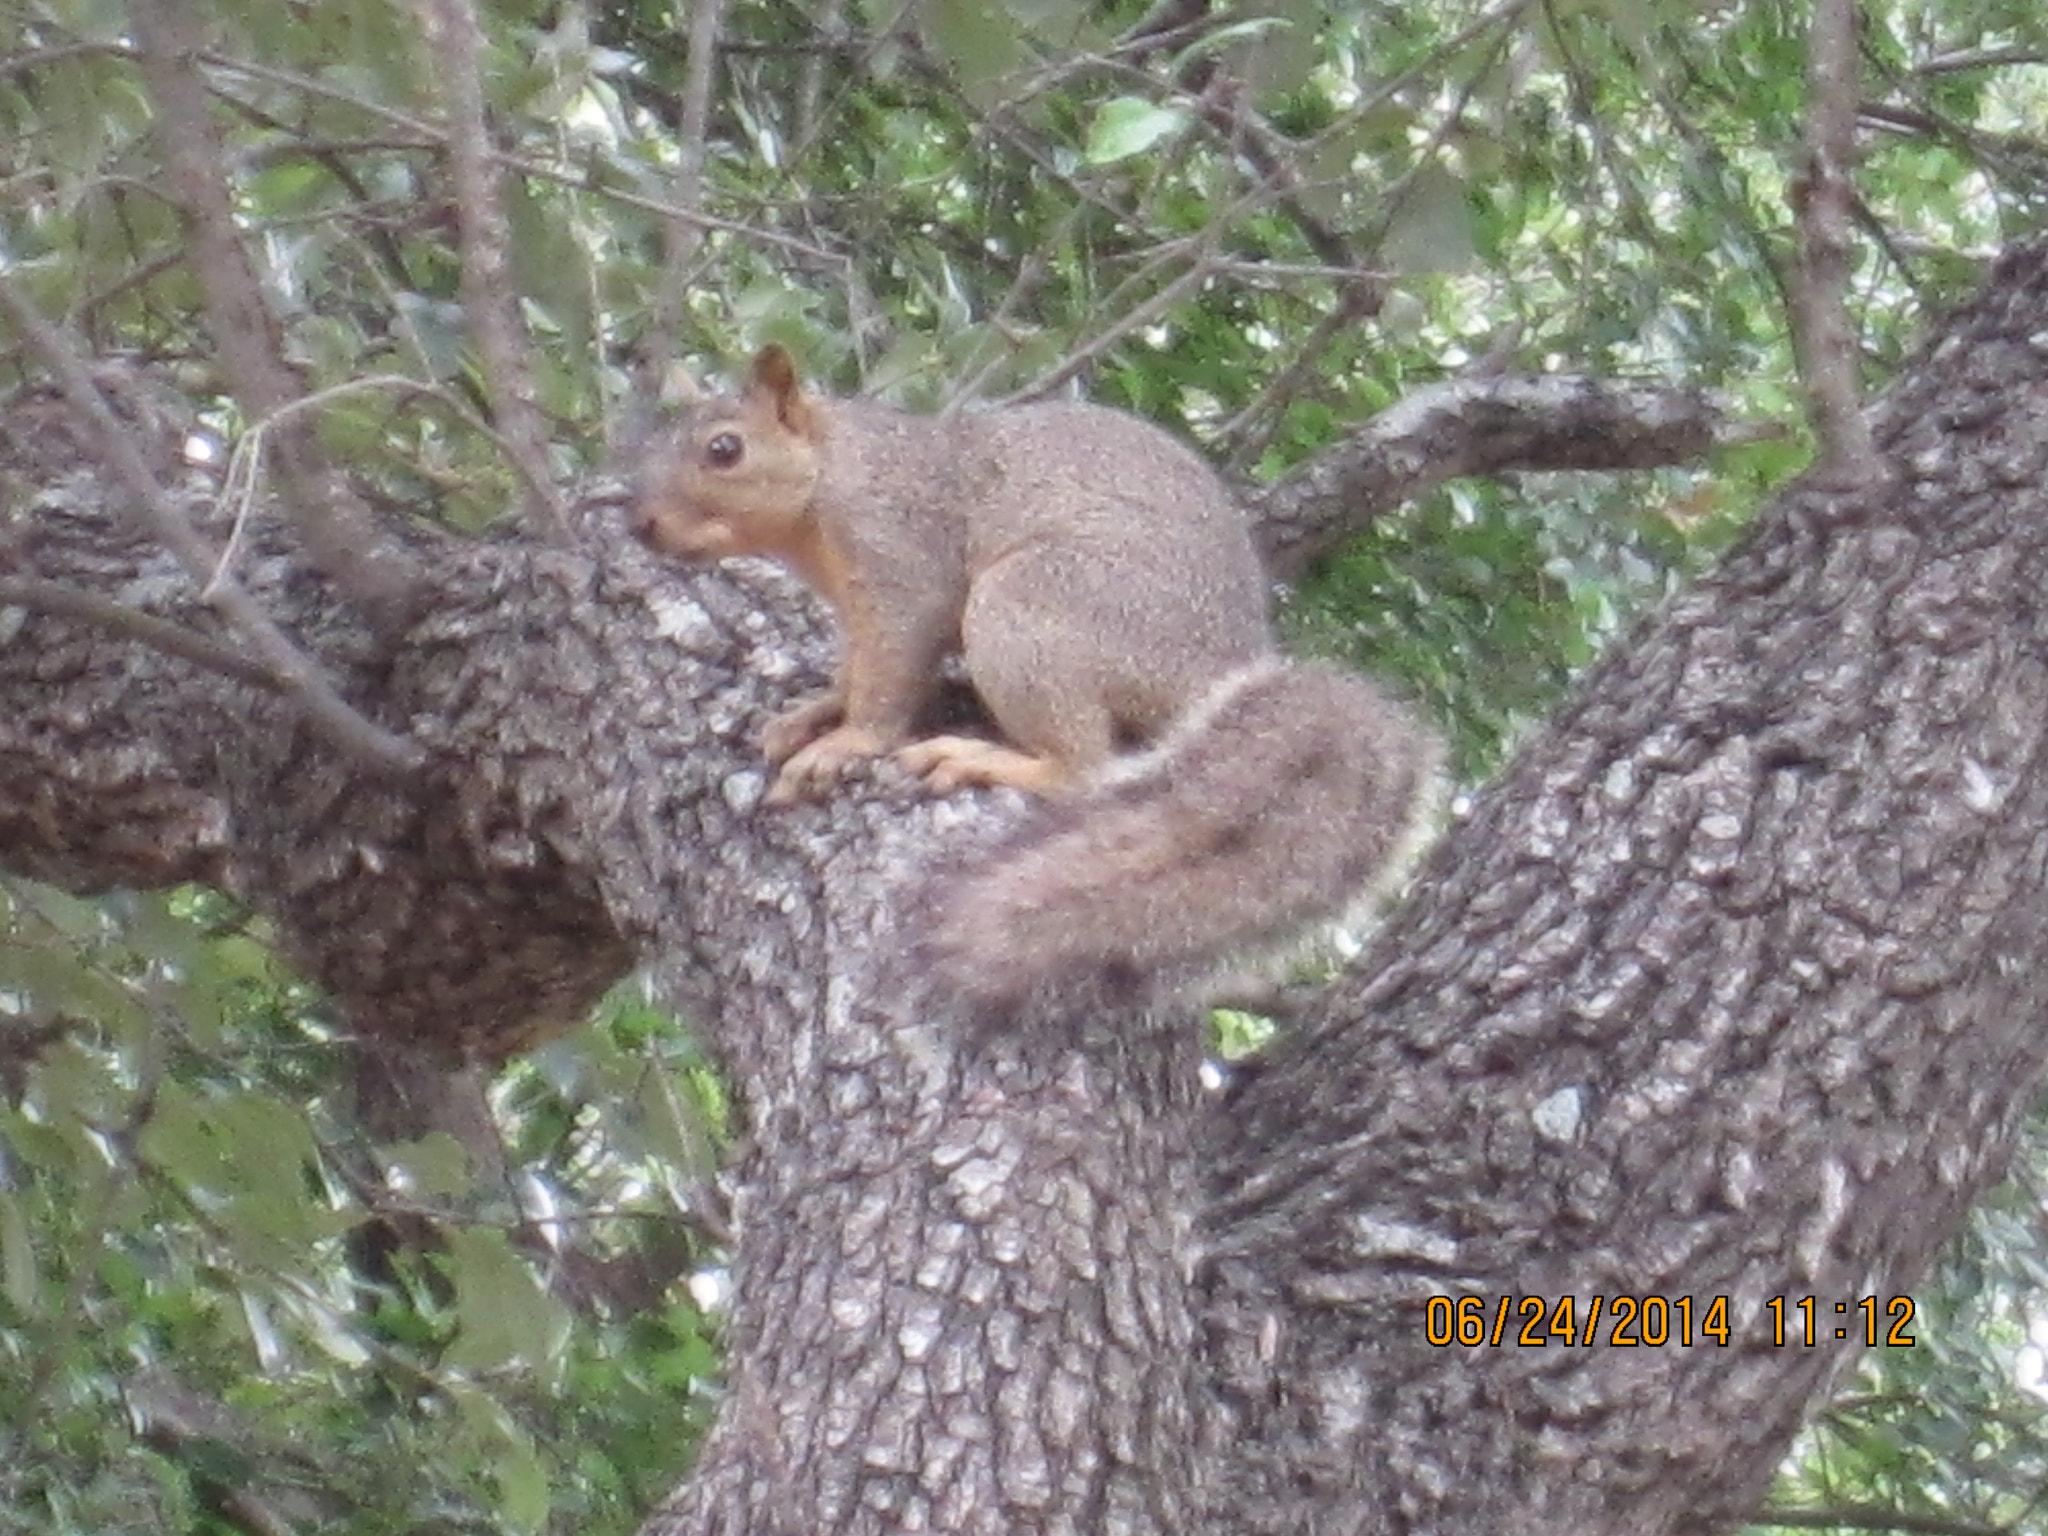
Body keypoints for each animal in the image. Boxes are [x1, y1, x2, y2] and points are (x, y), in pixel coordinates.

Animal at [630, 348, 1433, 1015]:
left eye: (724, 450)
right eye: (653, 443)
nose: (640, 523)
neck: (830, 474)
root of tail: (1221, 671)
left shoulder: (904, 560)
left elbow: (893, 675)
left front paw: (848, 742)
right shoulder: (857, 608)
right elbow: (858, 667)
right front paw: (818, 709)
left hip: (1031, 608)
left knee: (1084, 769)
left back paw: (984, 757)